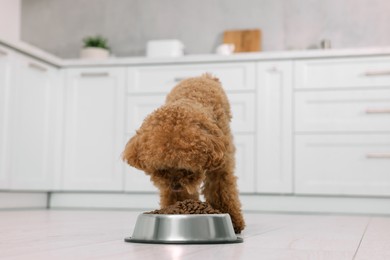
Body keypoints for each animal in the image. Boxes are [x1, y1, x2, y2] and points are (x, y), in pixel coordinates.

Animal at [122, 73, 244, 234]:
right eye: (162, 170)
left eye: (187, 169)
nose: (175, 185)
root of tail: (204, 76)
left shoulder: (220, 166)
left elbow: (221, 190)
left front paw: (233, 222)